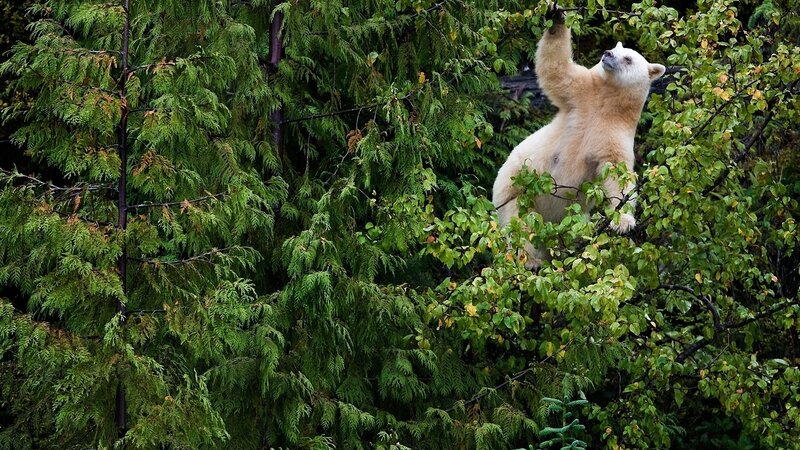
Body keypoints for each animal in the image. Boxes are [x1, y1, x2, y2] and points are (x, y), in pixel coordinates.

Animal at [492, 3, 665, 268]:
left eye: (628, 58)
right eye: (616, 48)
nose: (607, 53)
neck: (606, 102)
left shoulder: (615, 133)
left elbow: (617, 172)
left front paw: (623, 222)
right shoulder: (580, 95)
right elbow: (557, 71)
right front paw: (556, 16)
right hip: (513, 190)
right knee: (519, 223)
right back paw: (531, 260)